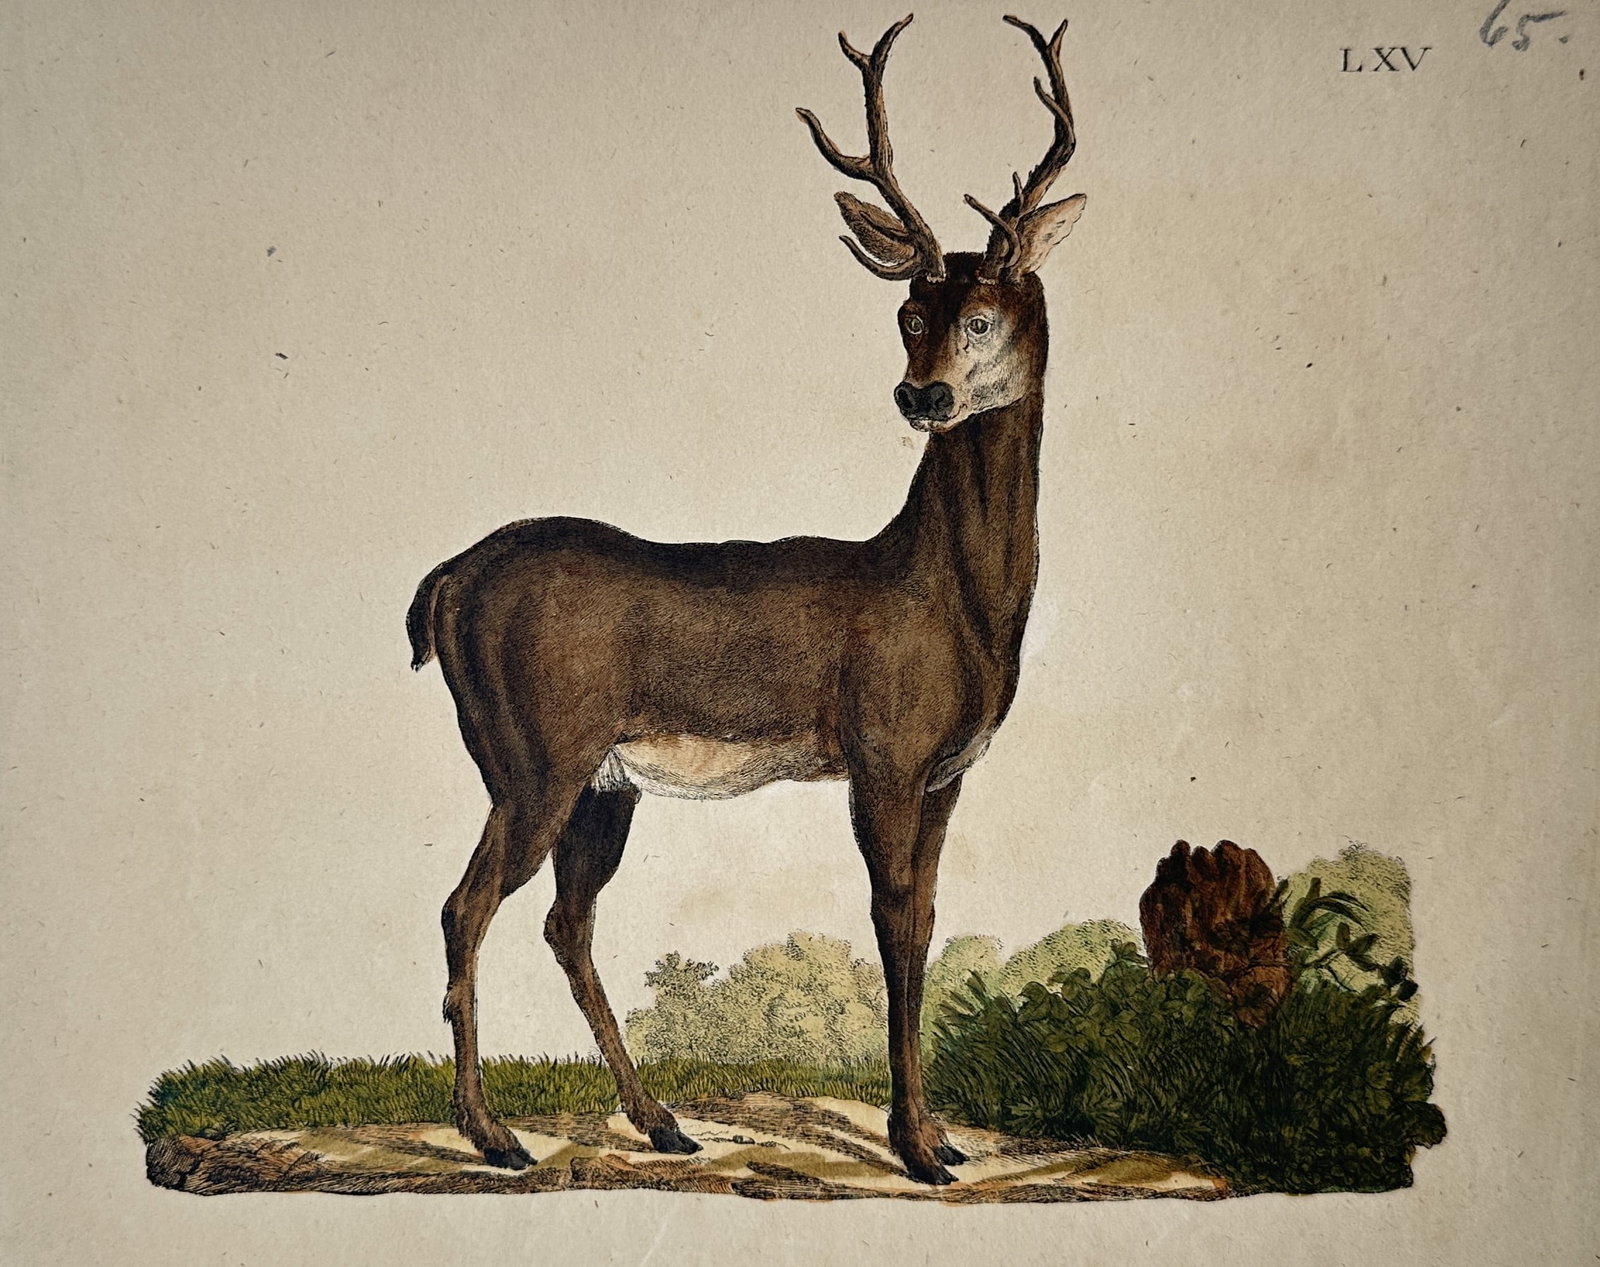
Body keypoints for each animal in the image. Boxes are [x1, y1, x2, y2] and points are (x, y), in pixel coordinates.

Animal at [406, 12, 1086, 1186]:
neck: (948, 602)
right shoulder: (883, 754)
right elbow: (894, 924)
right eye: (909, 310)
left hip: (601, 783)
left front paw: (938, 1134)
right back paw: (493, 1134)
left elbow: (926, 919)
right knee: (466, 906)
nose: (921, 394)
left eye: (989, 312)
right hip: (531, 755)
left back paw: (661, 1121)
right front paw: (917, 1145)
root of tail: (446, 580)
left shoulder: (947, 772)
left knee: (563, 923)